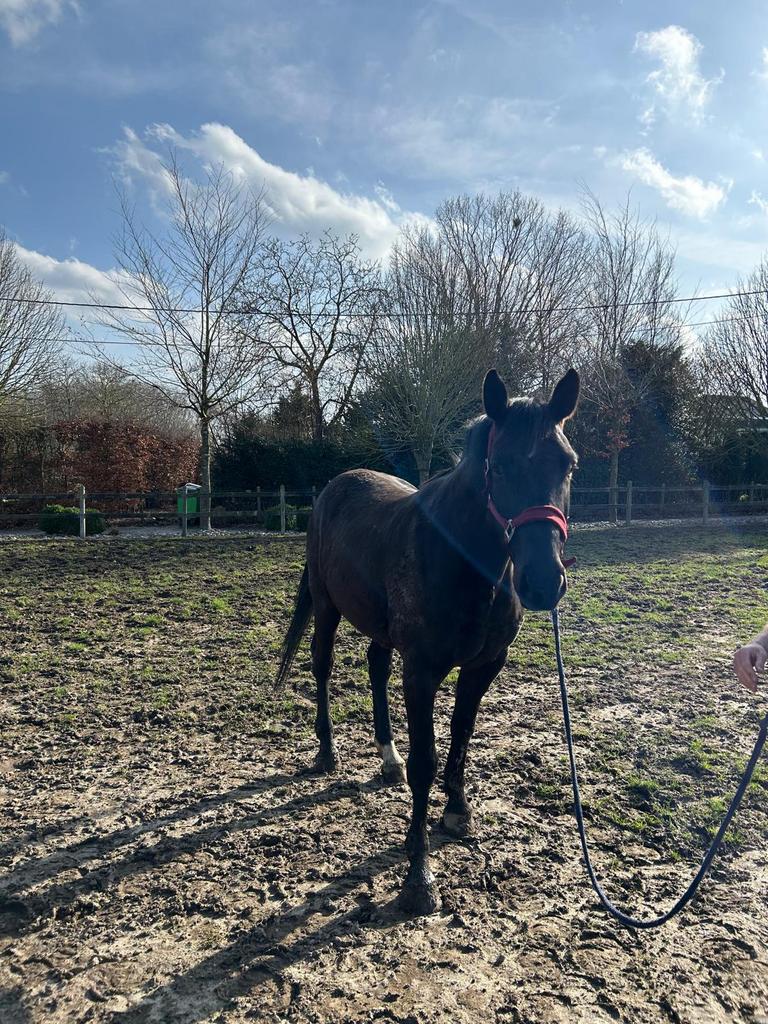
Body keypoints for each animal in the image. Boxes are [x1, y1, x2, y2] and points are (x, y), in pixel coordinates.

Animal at [276, 367, 580, 914]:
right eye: (501, 466)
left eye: (567, 465)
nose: (544, 582)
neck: (464, 561)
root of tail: (335, 486)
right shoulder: (421, 672)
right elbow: (426, 763)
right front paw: (418, 878)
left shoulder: (484, 666)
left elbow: (461, 736)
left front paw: (457, 812)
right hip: (328, 609)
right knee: (322, 668)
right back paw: (327, 754)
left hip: (379, 630)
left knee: (375, 668)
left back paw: (387, 758)